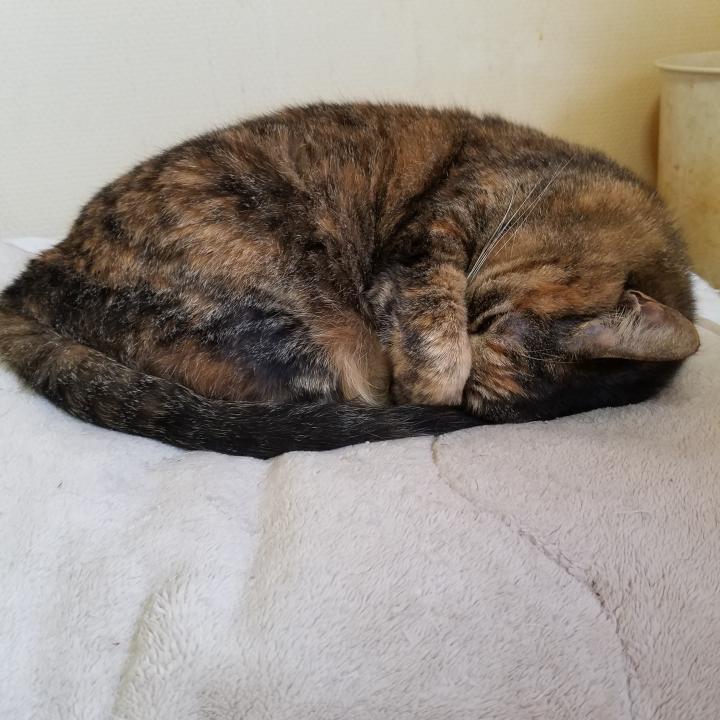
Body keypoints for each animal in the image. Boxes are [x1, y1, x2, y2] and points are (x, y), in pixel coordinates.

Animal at [0, 103, 699, 458]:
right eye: (490, 318)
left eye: (481, 403)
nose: (442, 396)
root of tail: (41, 271)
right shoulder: (435, 227)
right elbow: (431, 324)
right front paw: (430, 377)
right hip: (301, 325)